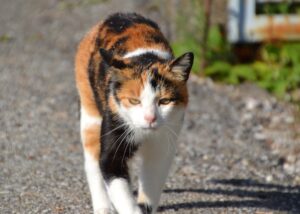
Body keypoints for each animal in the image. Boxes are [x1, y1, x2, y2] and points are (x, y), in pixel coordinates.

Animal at [74, 12, 193, 213]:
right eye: (134, 101)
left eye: (164, 101)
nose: (150, 117)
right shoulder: (114, 138)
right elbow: (115, 182)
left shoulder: (162, 146)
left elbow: (152, 184)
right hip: (90, 111)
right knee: (91, 161)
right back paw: (103, 206)